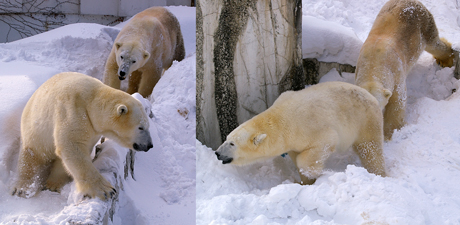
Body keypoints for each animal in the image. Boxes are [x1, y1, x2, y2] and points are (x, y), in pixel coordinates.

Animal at [11, 72, 153, 200]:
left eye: (148, 125)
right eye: (141, 127)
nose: (149, 145)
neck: (91, 100)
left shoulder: (92, 130)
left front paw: (55, 183)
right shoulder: (72, 111)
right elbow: (72, 146)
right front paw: (107, 190)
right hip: (34, 128)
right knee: (31, 155)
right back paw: (23, 189)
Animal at [215, 81, 384, 184]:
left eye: (232, 143)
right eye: (226, 138)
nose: (217, 153)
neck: (282, 120)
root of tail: (371, 96)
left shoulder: (311, 129)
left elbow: (318, 149)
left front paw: (314, 174)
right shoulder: (291, 142)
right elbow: (296, 156)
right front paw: (304, 182)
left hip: (365, 121)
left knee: (370, 150)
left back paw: (380, 174)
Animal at [354, 0, 454, 140]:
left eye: (377, 106)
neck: (373, 63)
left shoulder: (395, 72)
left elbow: (398, 101)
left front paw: (390, 133)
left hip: (424, 25)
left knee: (435, 44)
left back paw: (447, 59)